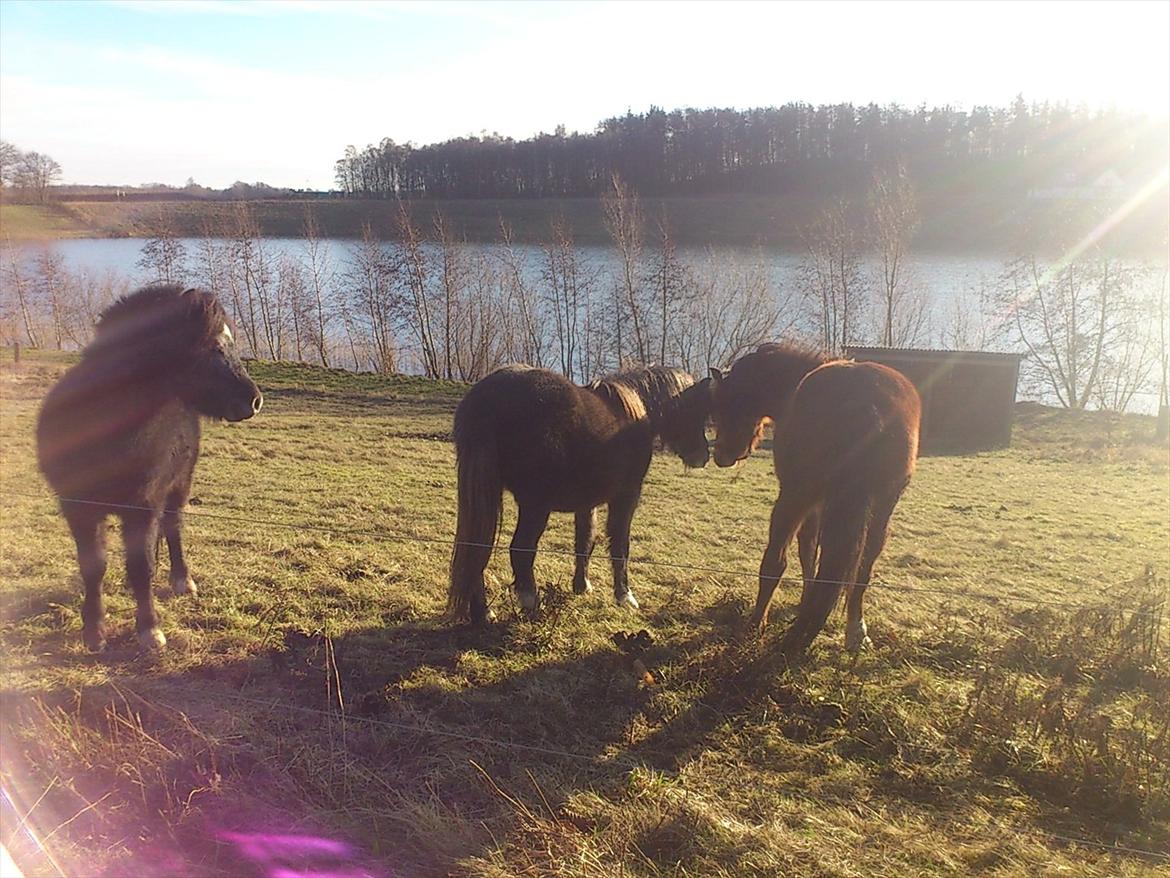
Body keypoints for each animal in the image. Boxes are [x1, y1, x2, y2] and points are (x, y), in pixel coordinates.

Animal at [39, 285, 265, 650]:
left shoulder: (142, 506)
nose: (255, 401)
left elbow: (141, 565)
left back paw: (181, 580)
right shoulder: (77, 507)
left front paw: (149, 629)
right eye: (215, 347)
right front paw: (94, 630)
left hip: (178, 486)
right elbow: (93, 566)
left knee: (172, 527)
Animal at [449, 365, 711, 627]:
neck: (637, 411)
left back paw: (483, 613)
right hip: (535, 505)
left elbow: (585, 541)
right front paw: (625, 596)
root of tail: (490, 395)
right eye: (695, 410)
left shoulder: (587, 502)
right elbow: (620, 545)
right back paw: (531, 603)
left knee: (476, 551)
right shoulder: (626, 497)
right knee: (520, 550)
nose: (703, 456)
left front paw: (581, 585)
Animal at [702, 344, 921, 655]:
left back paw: (757, 626)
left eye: (724, 404)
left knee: (774, 563)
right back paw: (855, 633)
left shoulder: (809, 502)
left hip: (795, 496)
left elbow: (805, 552)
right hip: (883, 506)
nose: (721, 455)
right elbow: (815, 557)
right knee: (863, 568)